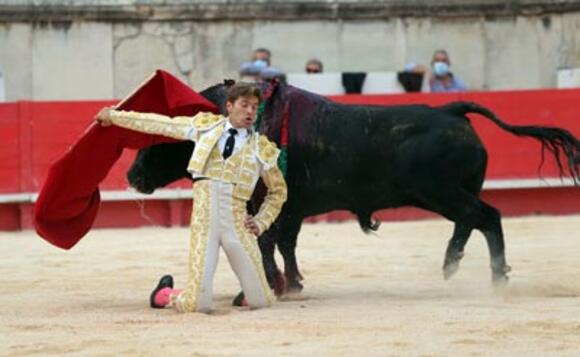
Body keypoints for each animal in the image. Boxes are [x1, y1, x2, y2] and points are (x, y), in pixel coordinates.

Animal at [127, 80, 580, 294]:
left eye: (157, 138)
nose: (132, 177)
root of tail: (453, 109)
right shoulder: (291, 209)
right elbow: (286, 243)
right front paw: (294, 282)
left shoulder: (270, 204)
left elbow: (267, 242)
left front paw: (276, 284)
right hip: (453, 193)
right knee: (472, 221)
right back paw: (452, 266)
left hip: (442, 193)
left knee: (487, 217)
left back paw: (495, 276)